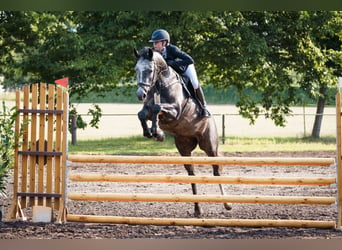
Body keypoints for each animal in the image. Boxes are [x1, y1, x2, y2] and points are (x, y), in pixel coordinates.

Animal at [132, 47, 231, 217]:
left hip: (209, 145)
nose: (140, 95)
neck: (160, 83)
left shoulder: (175, 111)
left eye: (150, 70)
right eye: (136, 70)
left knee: (216, 171)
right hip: (184, 146)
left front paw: (156, 131)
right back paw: (197, 209)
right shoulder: (148, 109)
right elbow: (142, 114)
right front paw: (154, 133)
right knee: (192, 174)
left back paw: (227, 204)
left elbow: (157, 108)